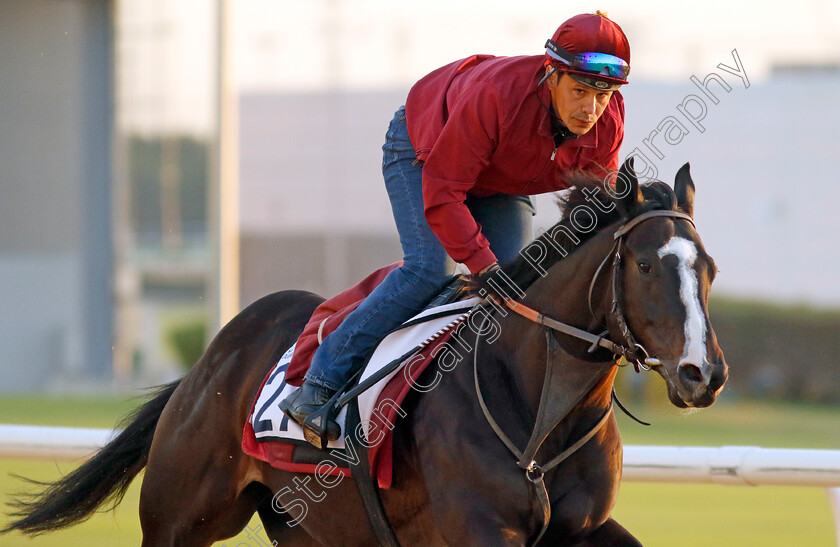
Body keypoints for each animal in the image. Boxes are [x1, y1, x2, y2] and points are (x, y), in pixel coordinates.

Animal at [3, 161, 728, 544]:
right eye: (643, 264)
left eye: (710, 268)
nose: (704, 373)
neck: (539, 417)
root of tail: (207, 363)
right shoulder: (480, 528)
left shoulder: (583, 528)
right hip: (181, 517)